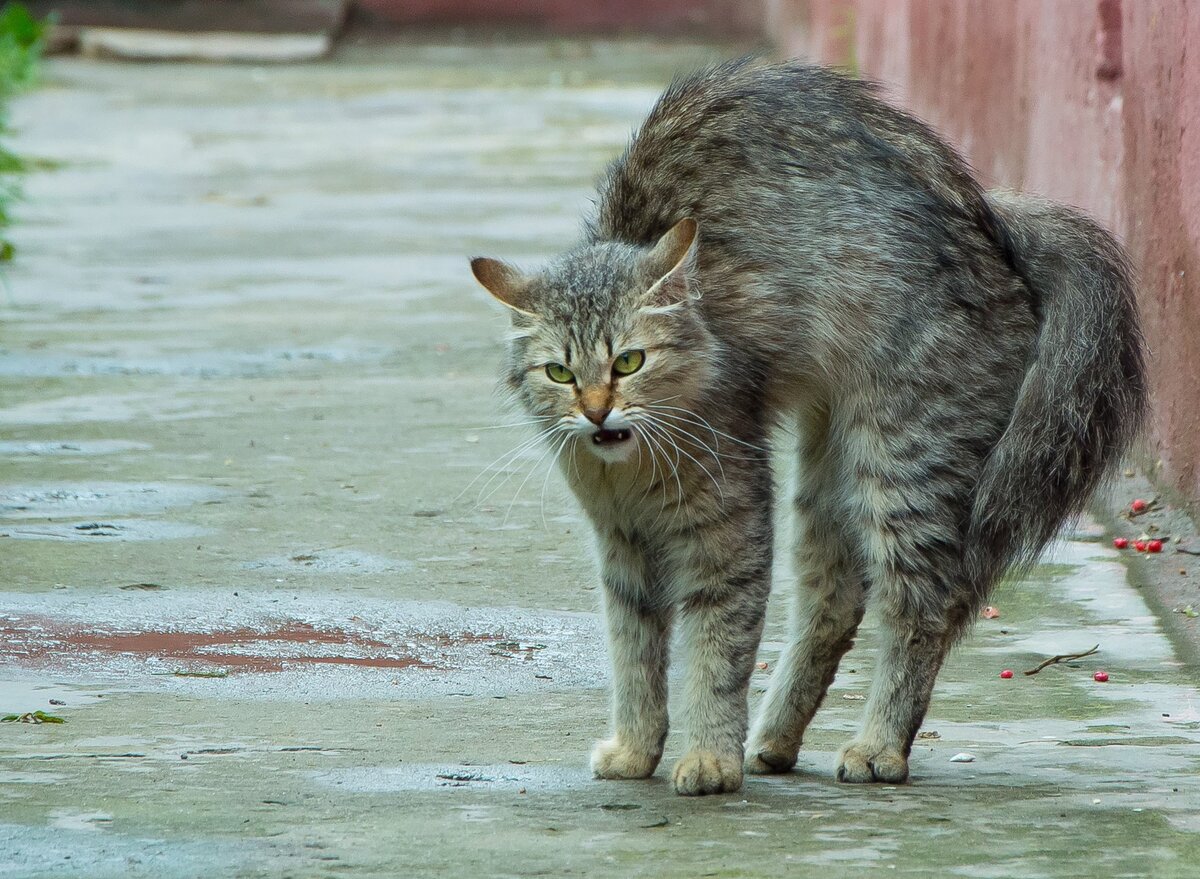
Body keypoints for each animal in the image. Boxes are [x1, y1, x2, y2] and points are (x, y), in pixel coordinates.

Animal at [465, 56, 1142, 797]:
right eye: (559, 372)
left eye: (629, 361)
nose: (594, 410)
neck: (632, 474)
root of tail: (994, 219)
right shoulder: (623, 552)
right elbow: (635, 658)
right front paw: (639, 747)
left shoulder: (729, 534)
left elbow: (715, 658)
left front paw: (709, 759)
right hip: (829, 469)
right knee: (836, 599)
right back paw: (776, 738)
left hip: (899, 461)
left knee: (923, 604)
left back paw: (878, 745)